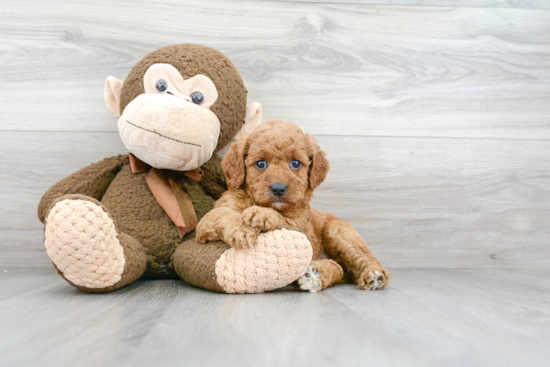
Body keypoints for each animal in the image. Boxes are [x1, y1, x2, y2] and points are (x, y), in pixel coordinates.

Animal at [196, 121, 390, 294]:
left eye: (295, 163)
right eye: (260, 163)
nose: (278, 188)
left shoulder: (302, 228)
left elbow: (284, 218)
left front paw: (261, 214)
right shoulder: (205, 223)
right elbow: (223, 214)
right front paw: (242, 230)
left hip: (337, 231)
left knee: (363, 259)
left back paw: (374, 276)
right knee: (339, 268)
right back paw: (315, 275)